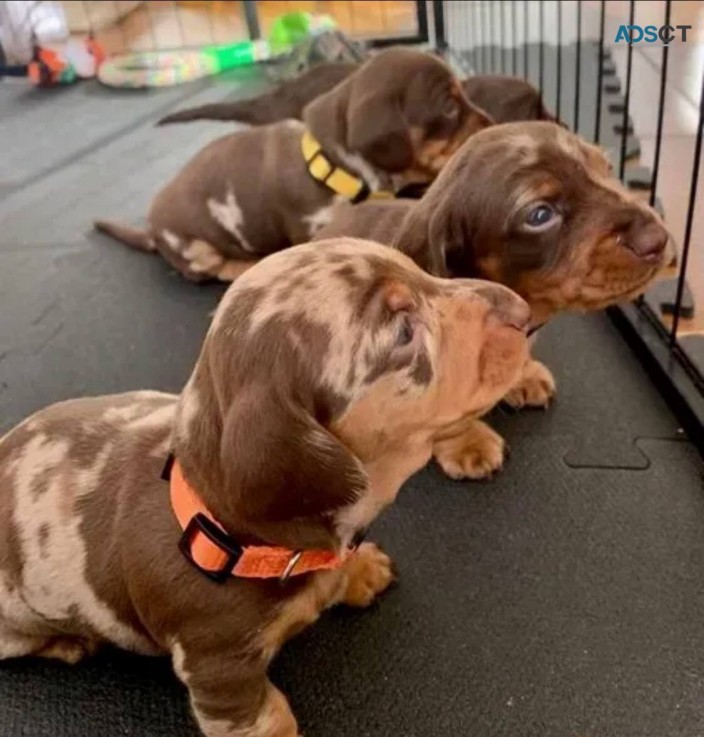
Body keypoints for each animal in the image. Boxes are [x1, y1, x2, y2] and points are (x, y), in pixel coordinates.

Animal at [0, 239, 528, 732]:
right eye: (402, 331)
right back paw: (68, 642)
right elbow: (267, 717)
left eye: (420, 270)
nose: (524, 314)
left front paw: (357, 570)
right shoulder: (219, 671)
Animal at [95, 46, 490, 282]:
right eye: (449, 107)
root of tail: (151, 232)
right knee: (217, 269)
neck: (334, 164)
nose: (490, 123)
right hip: (195, 248)